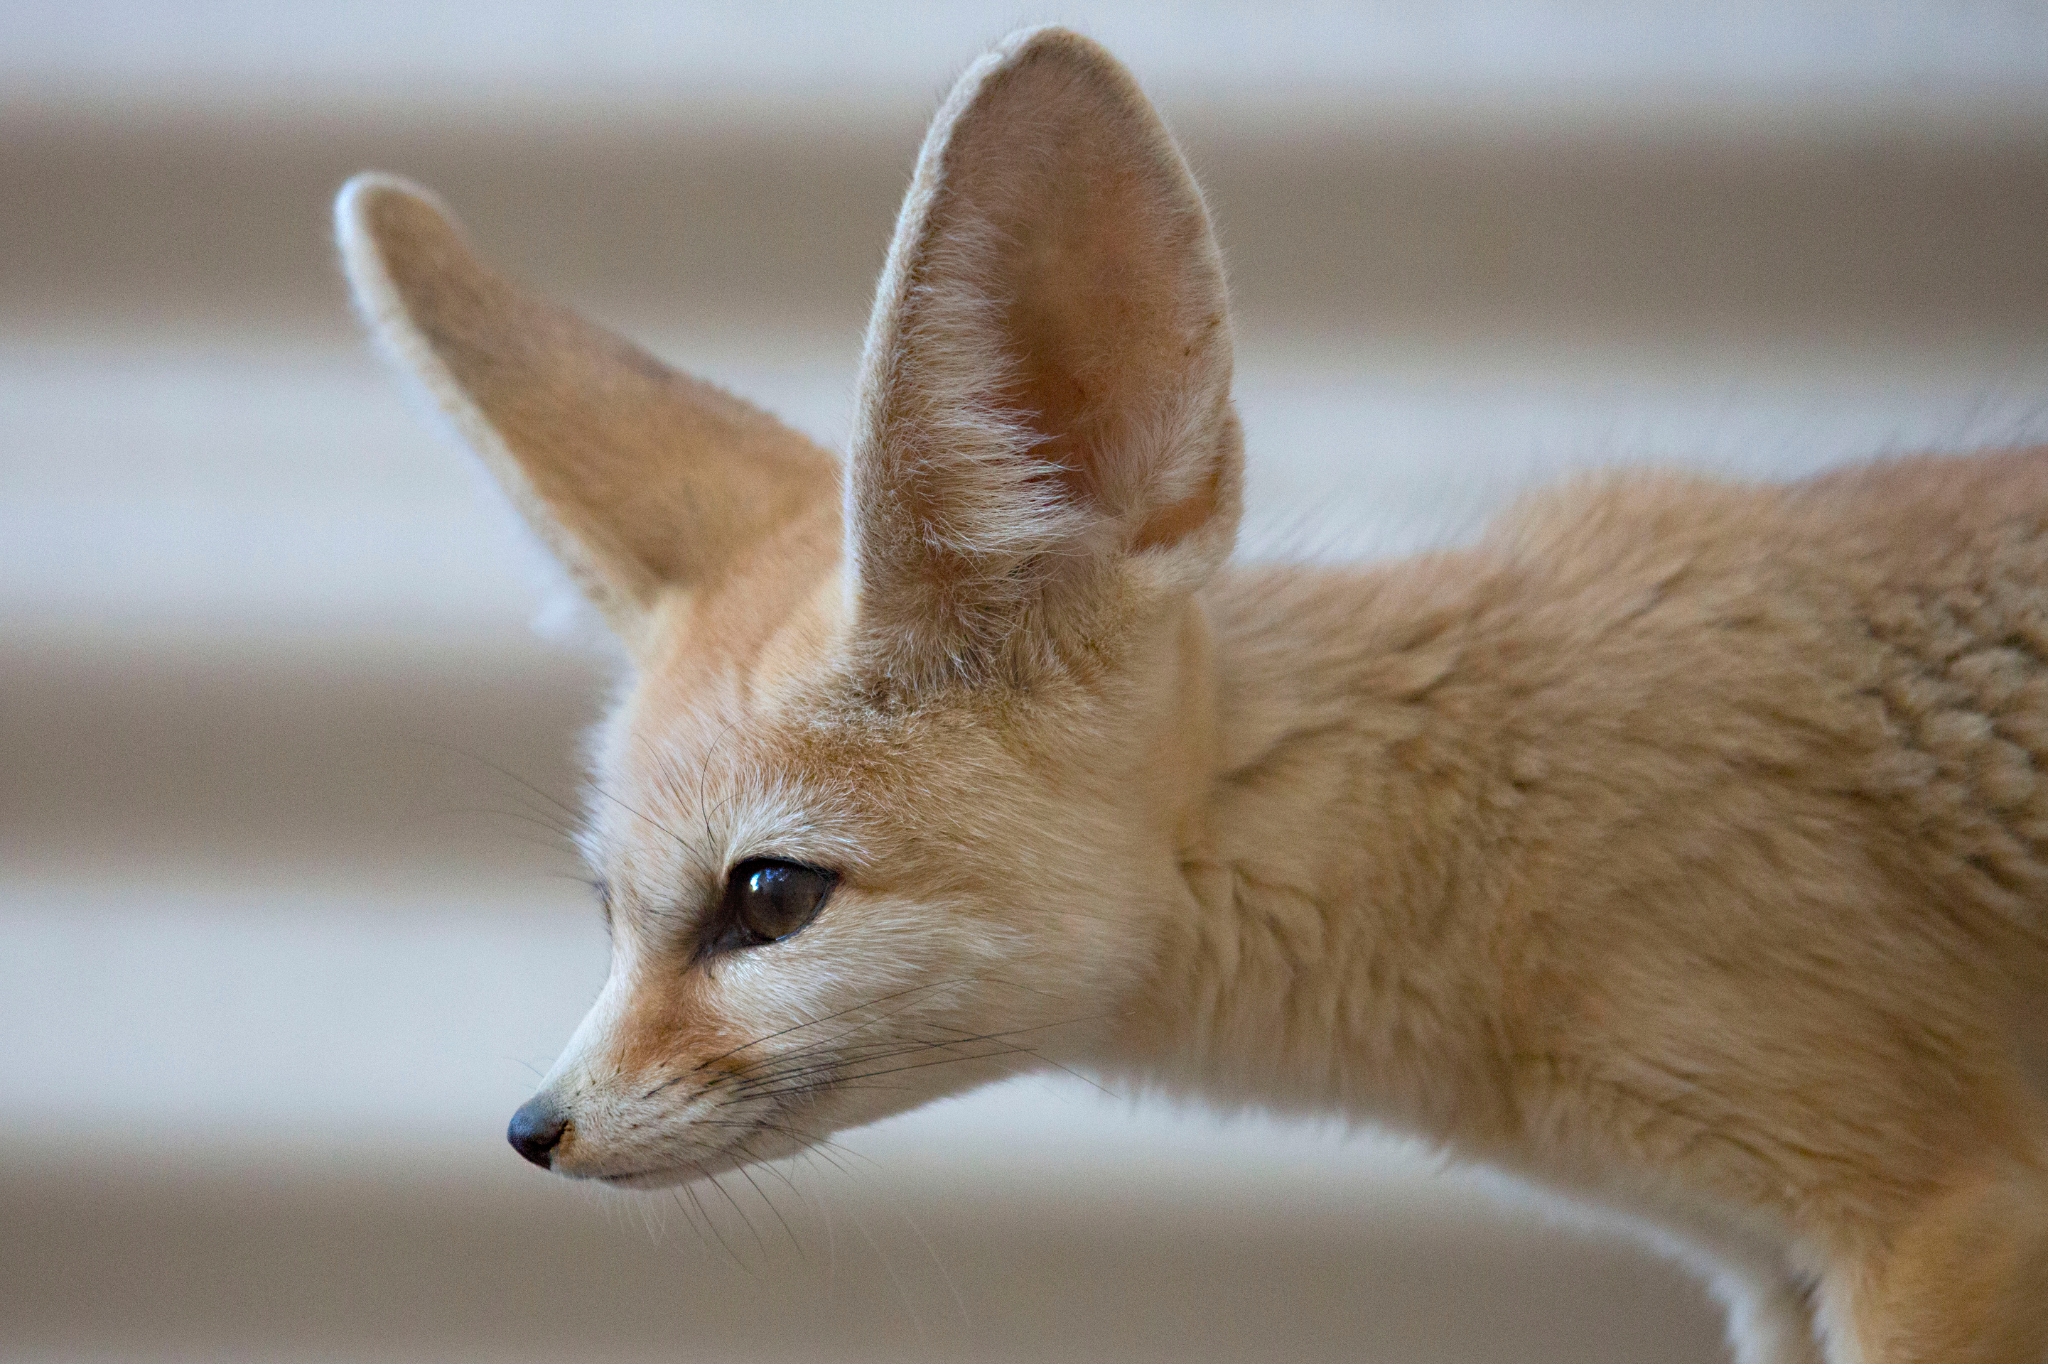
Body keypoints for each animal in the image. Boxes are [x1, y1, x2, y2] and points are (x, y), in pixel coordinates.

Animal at [334, 26, 2048, 1362]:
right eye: (607, 909)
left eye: (767, 897)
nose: (532, 1128)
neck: (1486, 825)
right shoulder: (1770, 1271)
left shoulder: (1932, 1222)